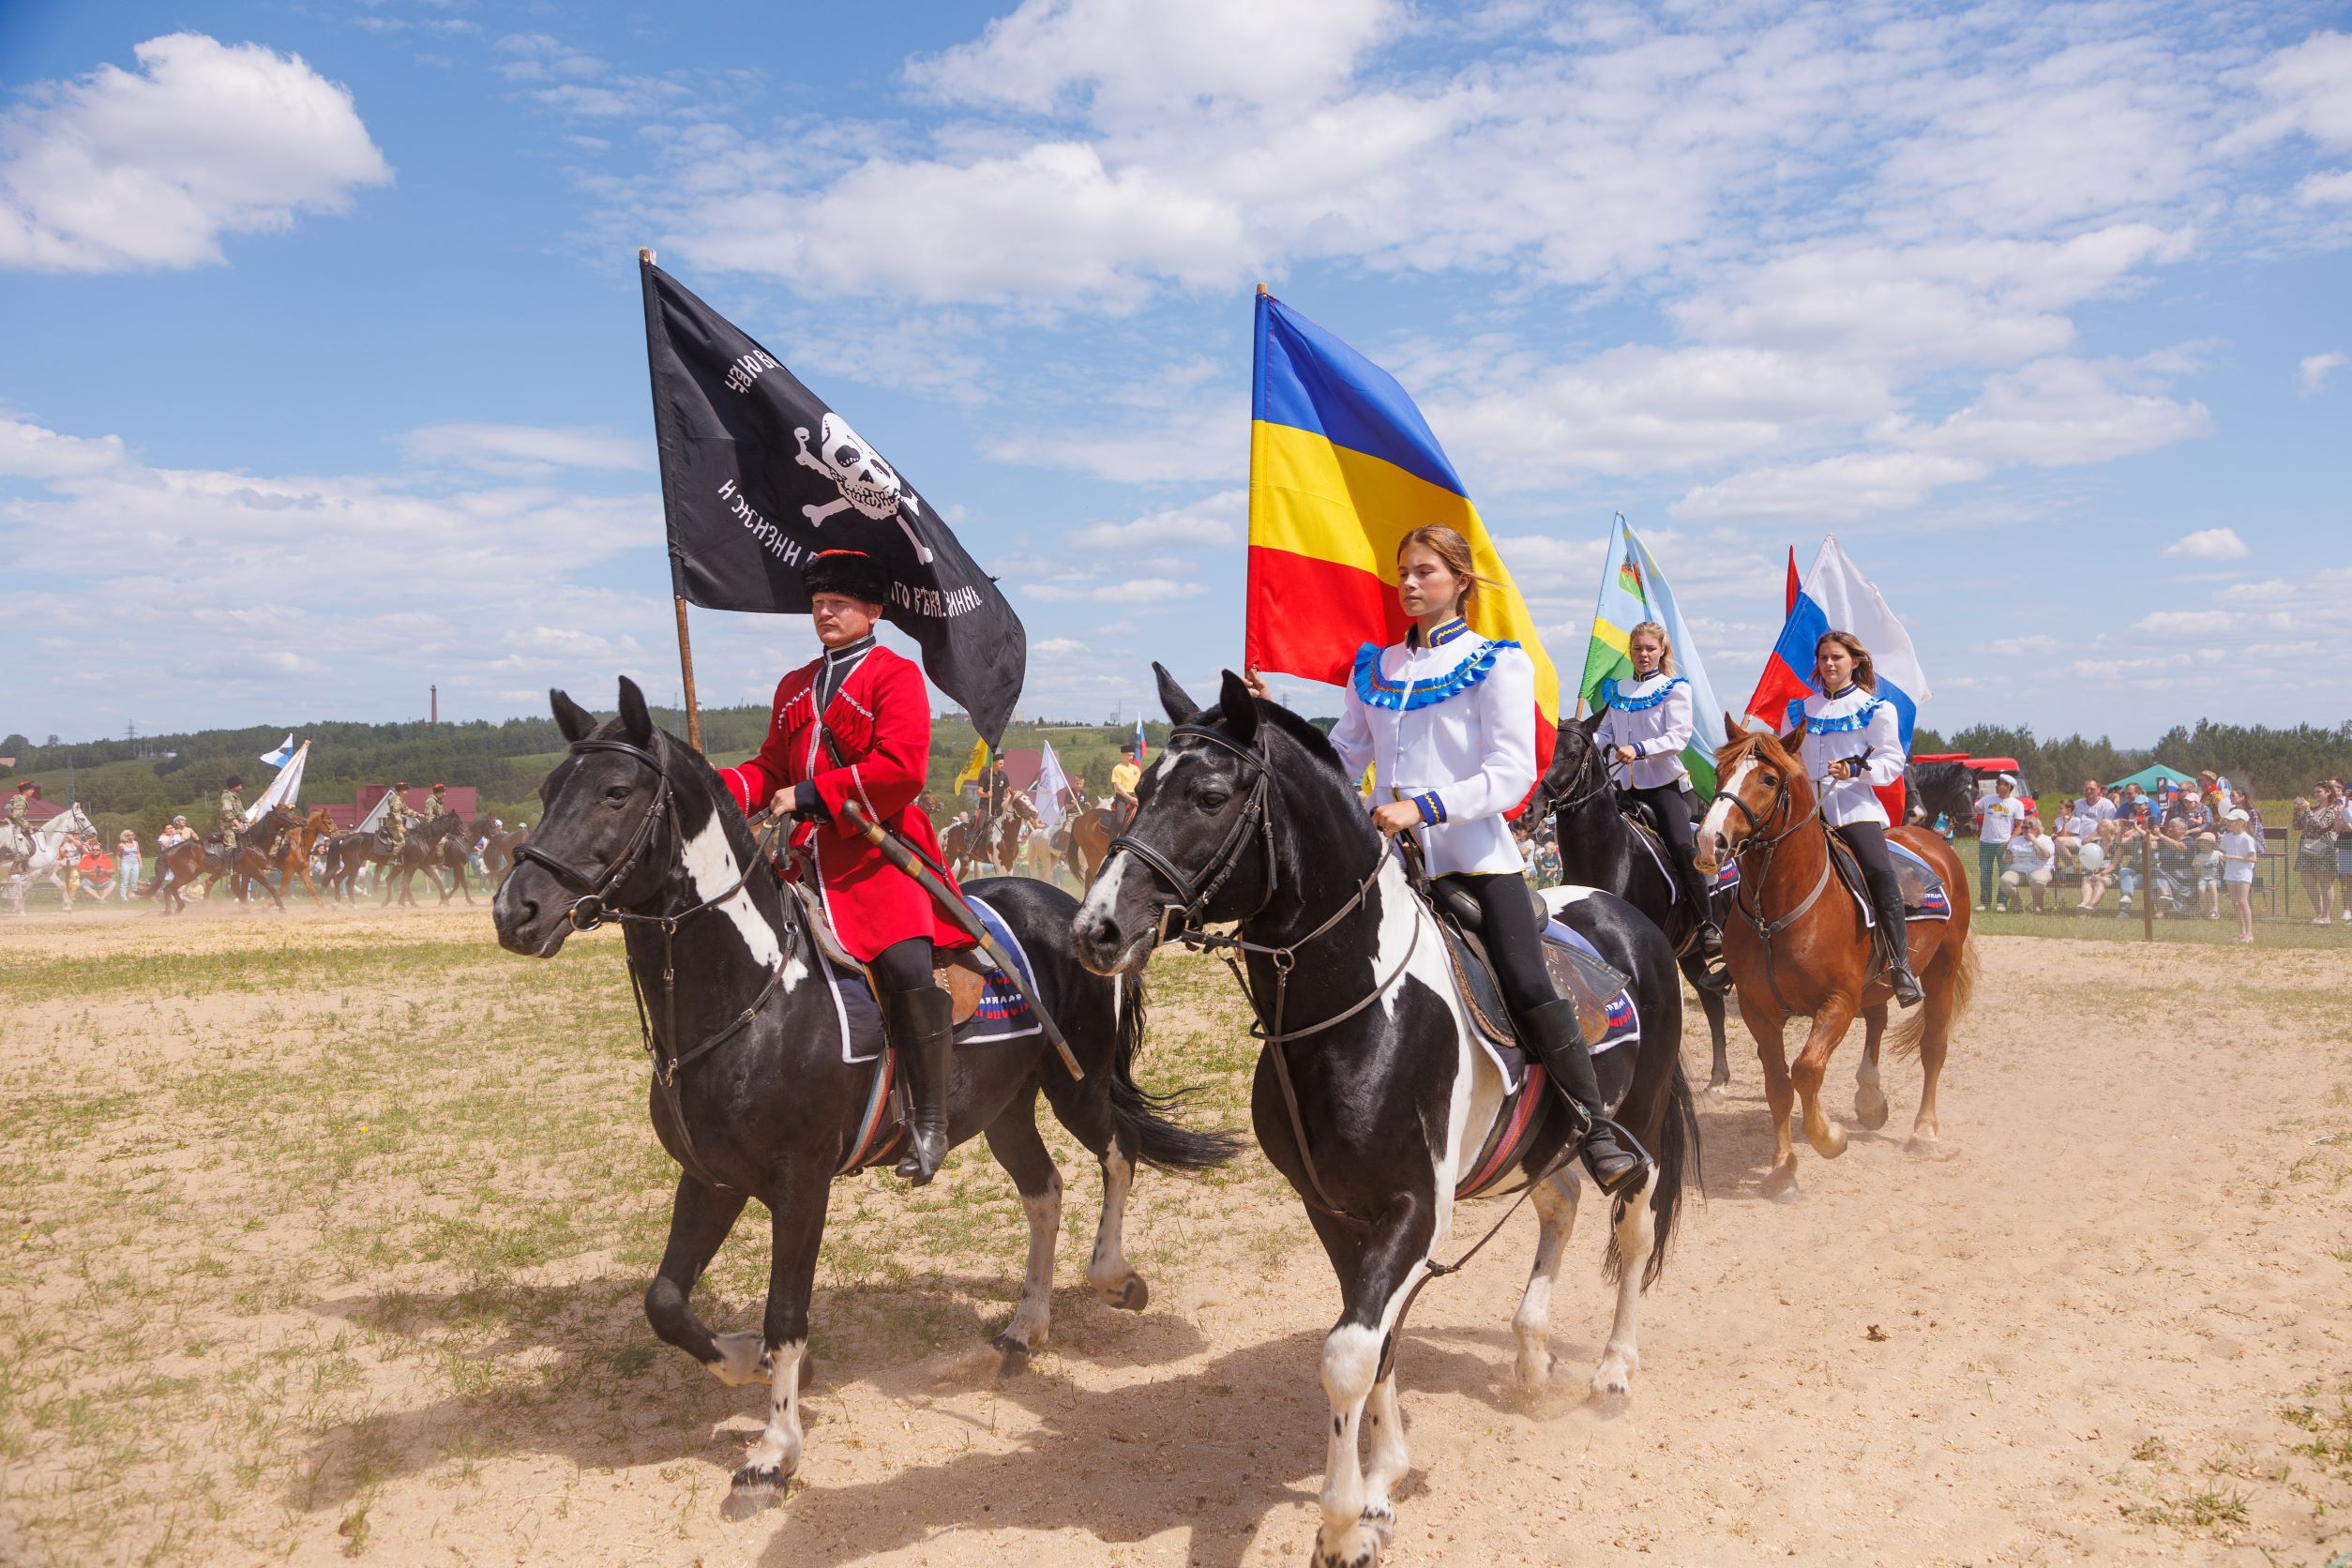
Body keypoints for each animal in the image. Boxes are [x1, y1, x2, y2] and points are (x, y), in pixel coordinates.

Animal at [489, 681, 1242, 1504]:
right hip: (1005, 1108)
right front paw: (744, 1361)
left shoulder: (800, 1183)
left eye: (615, 793)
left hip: (1078, 1082)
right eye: (547, 791)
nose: (514, 910)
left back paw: (1114, 1279)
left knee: (1120, 1151)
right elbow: (664, 1301)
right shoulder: (712, 1177)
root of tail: (1077, 914)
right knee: (1044, 1190)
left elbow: (786, 1312)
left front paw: (775, 1448)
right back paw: (1025, 1326)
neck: (754, 994)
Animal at [1077, 671, 1702, 1568]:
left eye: (1208, 796)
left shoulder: (1413, 1209)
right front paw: (1382, 1485)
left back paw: (1613, 1369)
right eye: (1138, 792)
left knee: (1635, 1225)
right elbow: (1377, 1346)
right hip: (1542, 1144)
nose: (1095, 929)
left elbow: (1347, 1353)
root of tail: (1623, 912)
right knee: (1560, 1207)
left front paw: (1345, 1522)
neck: (1356, 1012)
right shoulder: (1337, 1209)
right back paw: (1531, 1353)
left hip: (1640, 1124)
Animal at [1533, 710, 1740, 1091]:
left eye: (1571, 754)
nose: (1529, 810)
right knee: (1712, 1001)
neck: (1614, 856)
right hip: (1690, 954)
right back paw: (1718, 1075)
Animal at [1693, 724, 1984, 1203]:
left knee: (1933, 1048)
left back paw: (1925, 1133)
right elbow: (1778, 1085)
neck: (1779, 910)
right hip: (1877, 984)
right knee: (1879, 1019)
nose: (1708, 840)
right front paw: (1783, 1170)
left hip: (1941, 969)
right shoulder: (1758, 1010)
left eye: (1768, 779)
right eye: (1720, 772)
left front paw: (1829, 1138)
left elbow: (1807, 1070)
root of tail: (1933, 844)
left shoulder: (1837, 1002)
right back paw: (1870, 1099)